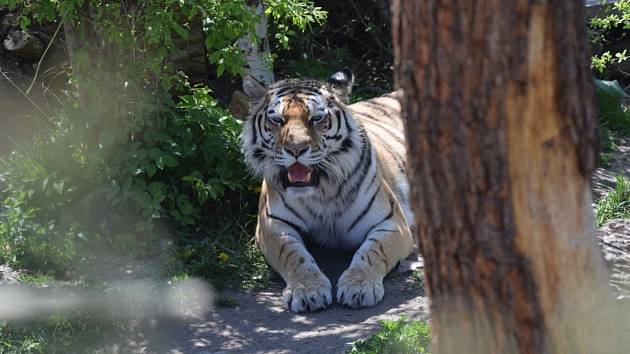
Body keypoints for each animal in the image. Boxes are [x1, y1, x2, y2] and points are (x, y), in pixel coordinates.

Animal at [241, 69, 414, 312]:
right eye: (277, 120)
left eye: (316, 118)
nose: (296, 149)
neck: (322, 190)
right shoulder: (272, 226)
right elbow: (294, 256)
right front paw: (308, 291)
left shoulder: (392, 223)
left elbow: (371, 252)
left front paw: (359, 286)